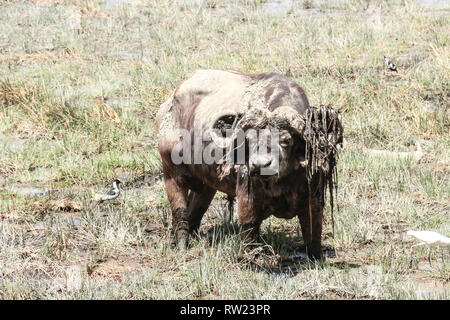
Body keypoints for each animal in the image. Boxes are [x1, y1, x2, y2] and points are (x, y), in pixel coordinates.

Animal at [156, 69, 342, 258]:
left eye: (286, 140)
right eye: (250, 139)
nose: (260, 165)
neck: (283, 181)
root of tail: (168, 106)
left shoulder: (314, 200)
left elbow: (314, 236)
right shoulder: (247, 202)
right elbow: (250, 232)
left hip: (207, 184)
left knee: (197, 209)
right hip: (171, 173)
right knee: (180, 212)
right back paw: (181, 243)